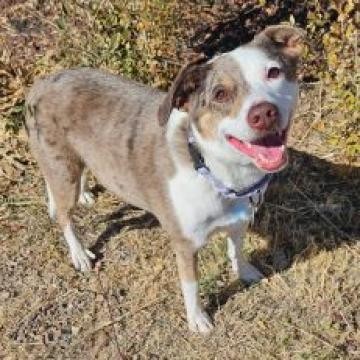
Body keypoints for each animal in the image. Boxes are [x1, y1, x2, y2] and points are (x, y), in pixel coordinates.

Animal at [25, 25, 304, 334]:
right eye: (220, 94)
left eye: (273, 72)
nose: (264, 113)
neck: (214, 171)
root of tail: (41, 82)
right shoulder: (185, 245)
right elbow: (191, 285)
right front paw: (197, 319)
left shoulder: (239, 221)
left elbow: (236, 251)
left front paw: (244, 272)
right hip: (63, 172)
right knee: (64, 216)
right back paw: (79, 253)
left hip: (71, 164)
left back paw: (83, 194)